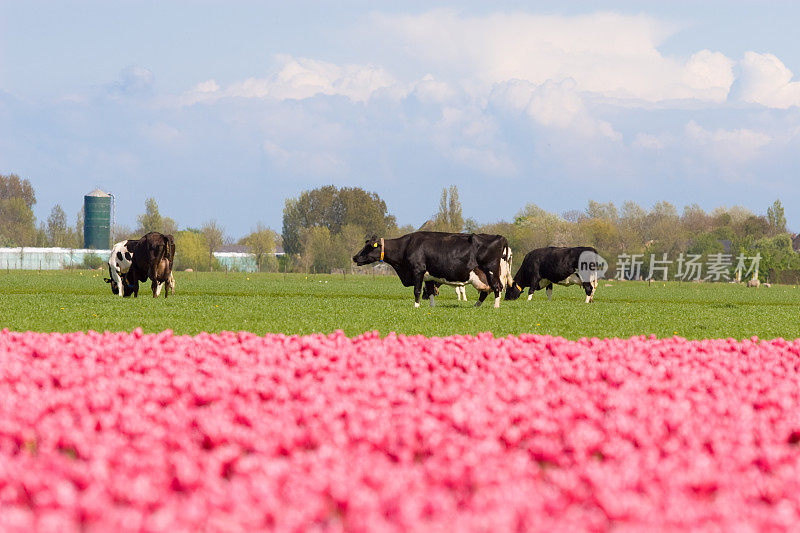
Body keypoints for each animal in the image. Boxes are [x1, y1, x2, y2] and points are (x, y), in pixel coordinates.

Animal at [352, 230, 512, 308]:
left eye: (368, 247)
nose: (354, 257)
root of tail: (501, 237)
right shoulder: (428, 276)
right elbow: (430, 292)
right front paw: (432, 307)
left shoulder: (418, 271)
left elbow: (417, 290)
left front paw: (416, 306)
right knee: (486, 290)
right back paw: (476, 306)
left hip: (491, 270)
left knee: (497, 287)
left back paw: (496, 307)